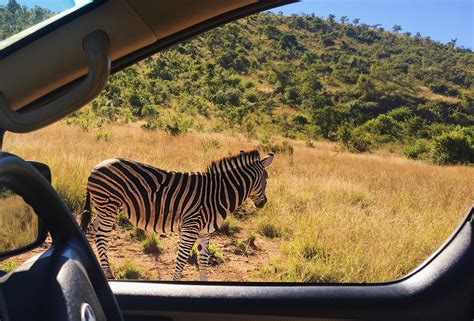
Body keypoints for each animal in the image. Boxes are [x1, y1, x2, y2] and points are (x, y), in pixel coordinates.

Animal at [79, 149, 274, 278]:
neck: (218, 193)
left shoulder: (204, 232)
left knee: (90, 230)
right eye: (267, 177)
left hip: (106, 209)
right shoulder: (191, 227)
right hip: (108, 206)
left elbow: (203, 260)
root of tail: (95, 167)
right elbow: (182, 259)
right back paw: (109, 274)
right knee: (101, 237)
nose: (264, 203)